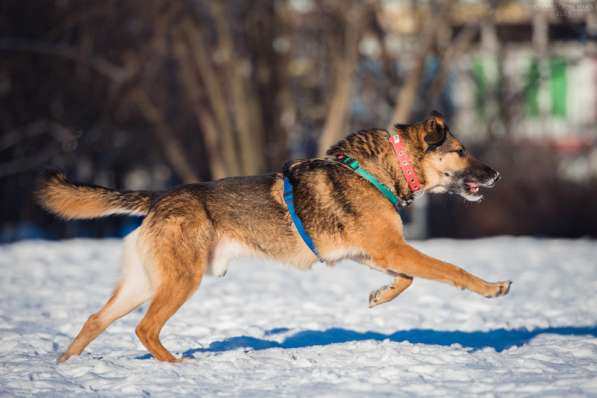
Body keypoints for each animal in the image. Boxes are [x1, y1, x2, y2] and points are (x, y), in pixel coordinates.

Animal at [37, 110, 510, 362]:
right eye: (461, 151)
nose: (496, 175)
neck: (386, 169)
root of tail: (158, 197)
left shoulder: (374, 252)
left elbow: (408, 279)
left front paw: (380, 296)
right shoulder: (390, 248)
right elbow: (450, 268)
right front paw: (491, 288)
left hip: (143, 281)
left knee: (96, 319)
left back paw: (66, 365)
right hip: (180, 280)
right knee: (145, 328)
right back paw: (176, 365)